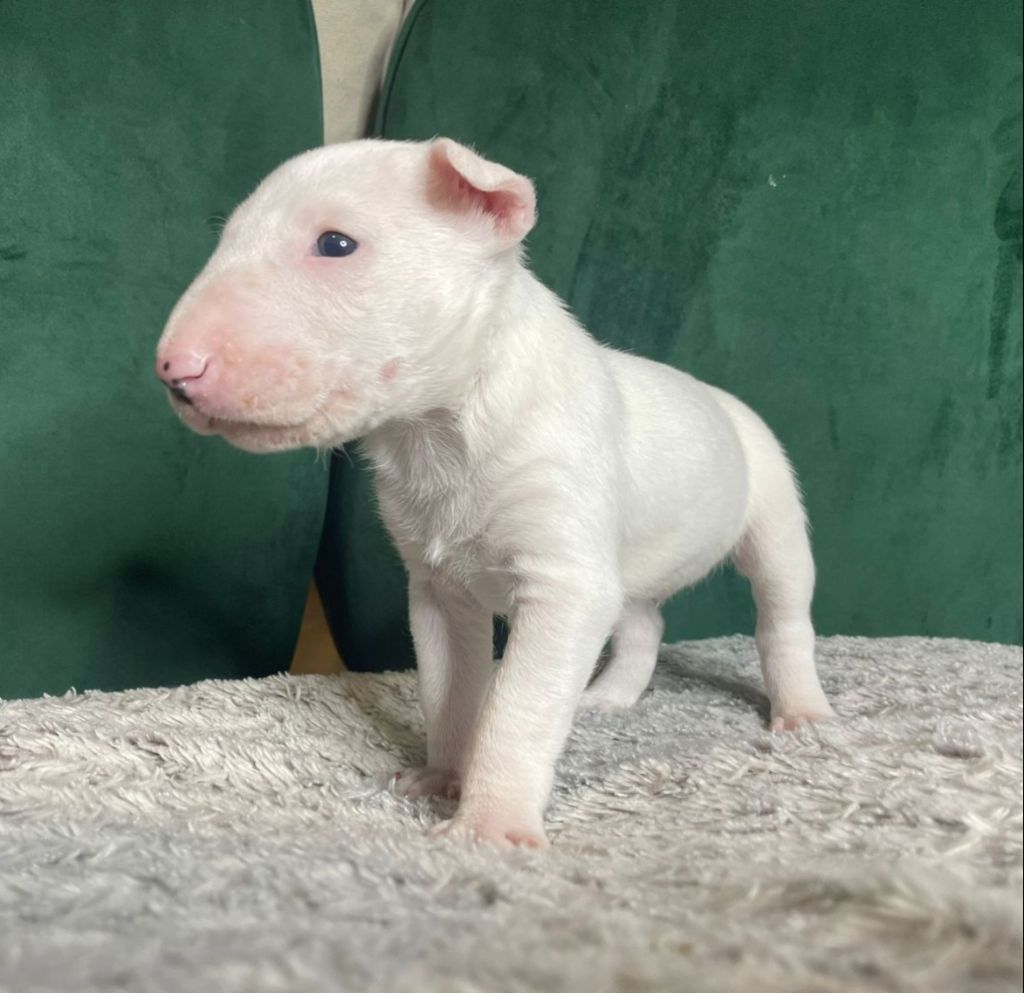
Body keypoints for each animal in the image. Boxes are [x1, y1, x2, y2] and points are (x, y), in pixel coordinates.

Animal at [155, 138, 835, 848]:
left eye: (336, 244)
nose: (174, 369)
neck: (442, 434)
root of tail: (725, 401)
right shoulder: (437, 589)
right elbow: (450, 689)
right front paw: (441, 779)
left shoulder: (563, 584)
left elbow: (518, 706)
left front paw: (488, 828)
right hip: (629, 564)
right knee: (643, 622)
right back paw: (610, 697)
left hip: (774, 511)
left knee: (783, 615)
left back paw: (803, 710)